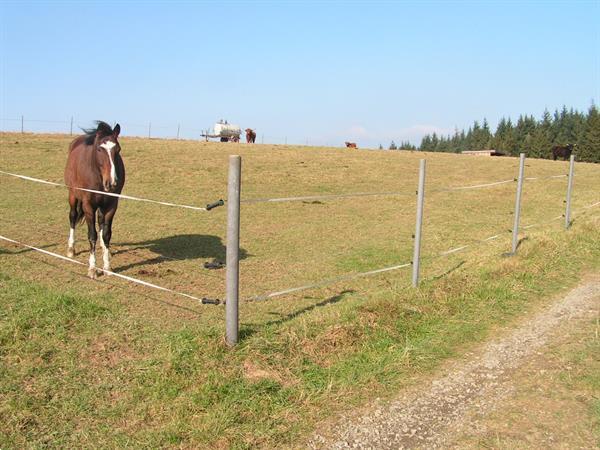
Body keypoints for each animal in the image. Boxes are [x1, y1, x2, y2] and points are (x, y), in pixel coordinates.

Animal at [64, 121, 125, 280]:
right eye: (99, 149)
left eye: (118, 149)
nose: (112, 182)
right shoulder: (88, 205)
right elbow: (92, 235)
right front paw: (92, 268)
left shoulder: (111, 205)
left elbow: (106, 233)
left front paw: (107, 266)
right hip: (73, 195)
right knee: (73, 217)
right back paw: (71, 248)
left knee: (101, 223)